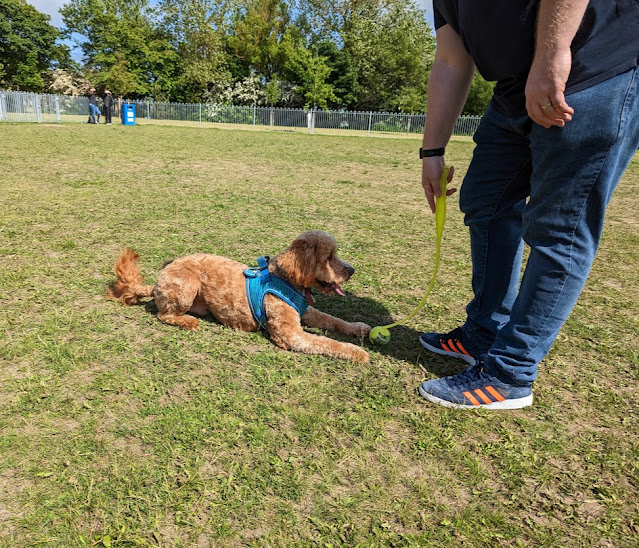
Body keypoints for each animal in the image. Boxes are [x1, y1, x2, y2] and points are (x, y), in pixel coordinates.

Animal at [108, 229, 372, 362]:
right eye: (329, 257)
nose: (351, 270)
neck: (285, 280)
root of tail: (155, 284)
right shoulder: (291, 334)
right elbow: (327, 343)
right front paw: (356, 352)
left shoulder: (307, 311)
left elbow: (333, 320)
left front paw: (359, 328)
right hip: (187, 285)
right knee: (163, 314)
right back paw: (187, 322)